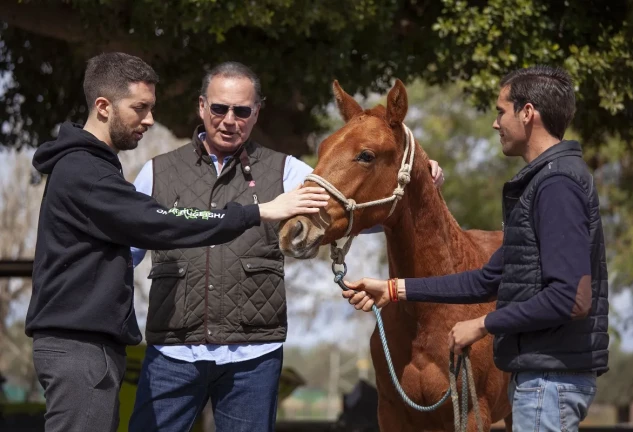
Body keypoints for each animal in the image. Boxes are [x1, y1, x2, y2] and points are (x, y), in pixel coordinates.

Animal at [278, 79, 512, 430]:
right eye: (322, 149)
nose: (293, 230)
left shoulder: (473, 414)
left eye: (366, 155)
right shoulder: (391, 412)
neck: (430, 313)